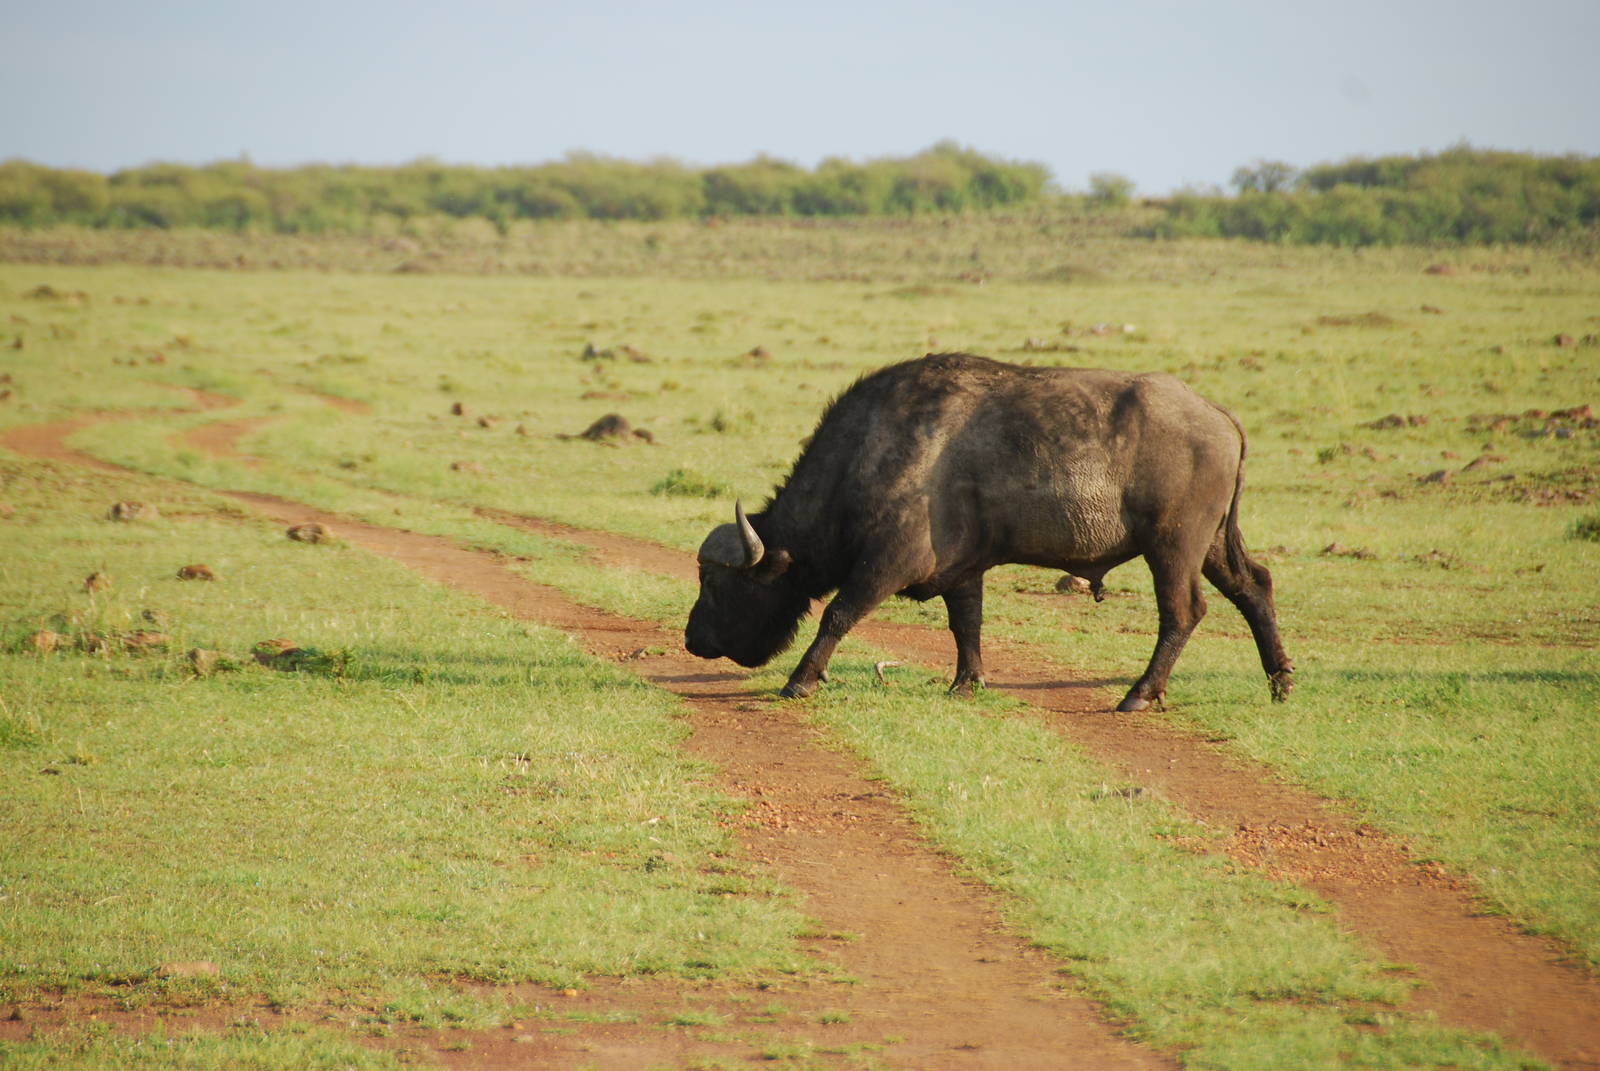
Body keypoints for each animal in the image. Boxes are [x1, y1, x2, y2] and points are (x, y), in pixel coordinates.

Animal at [685, 353, 1293, 712]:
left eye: (715, 583)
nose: (692, 640)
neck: (868, 454)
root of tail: (1216, 415)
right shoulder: (962, 570)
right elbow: (966, 625)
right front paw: (966, 683)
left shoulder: (887, 563)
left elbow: (837, 614)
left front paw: (801, 679)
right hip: (1212, 544)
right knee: (1254, 586)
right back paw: (1280, 680)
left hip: (1173, 546)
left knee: (1183, 611)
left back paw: (1140, 695)